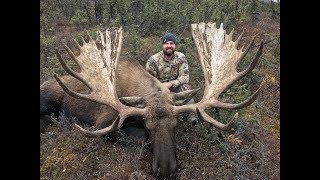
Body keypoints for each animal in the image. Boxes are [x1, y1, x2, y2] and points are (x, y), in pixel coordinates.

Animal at [40, 22, 264, 179]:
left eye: (175, 125)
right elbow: (138, 137)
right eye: (148, 126)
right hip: (49, 96)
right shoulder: (102, 123)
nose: (165, 170)